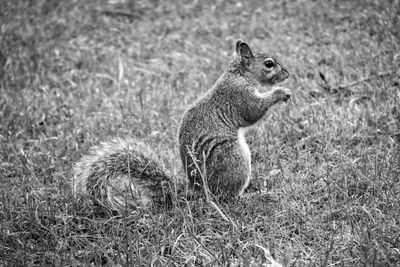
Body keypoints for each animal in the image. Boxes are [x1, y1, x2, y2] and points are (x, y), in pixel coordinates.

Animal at [72, 39, 290, 211]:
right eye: (269, 64)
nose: (287, 74)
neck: (239, 74)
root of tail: (198, 191)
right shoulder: (238, 96)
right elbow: (252, 112)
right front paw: (281, 93)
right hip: (234, 159)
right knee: (227, 197)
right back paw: (253, 196)